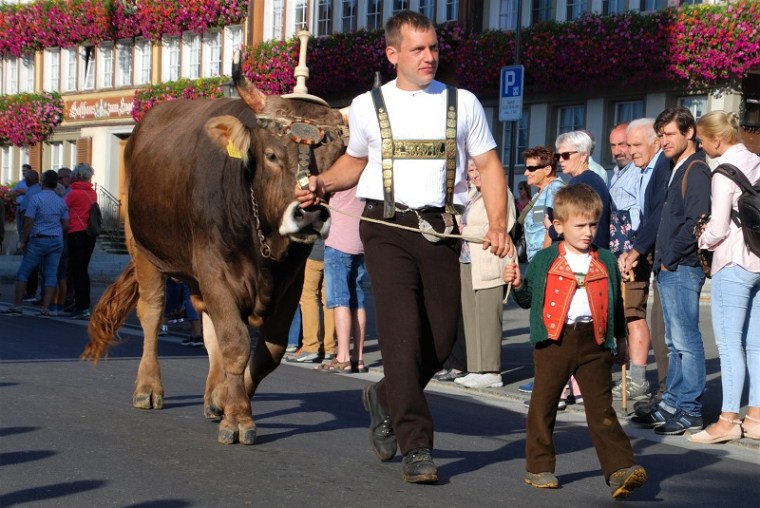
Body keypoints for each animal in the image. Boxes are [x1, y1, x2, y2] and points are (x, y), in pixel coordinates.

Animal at [82, 56, 348, 445]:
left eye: (334, 160)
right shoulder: (214, 269)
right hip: (143, 249)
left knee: (207, 326)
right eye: (271, 155)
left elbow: (268, 352)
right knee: (151, 313)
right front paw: (237, 419)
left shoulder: (290, 282)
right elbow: (236, 343)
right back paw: (148, 388)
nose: (311, 213)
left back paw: (212, 394)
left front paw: (226, 400)